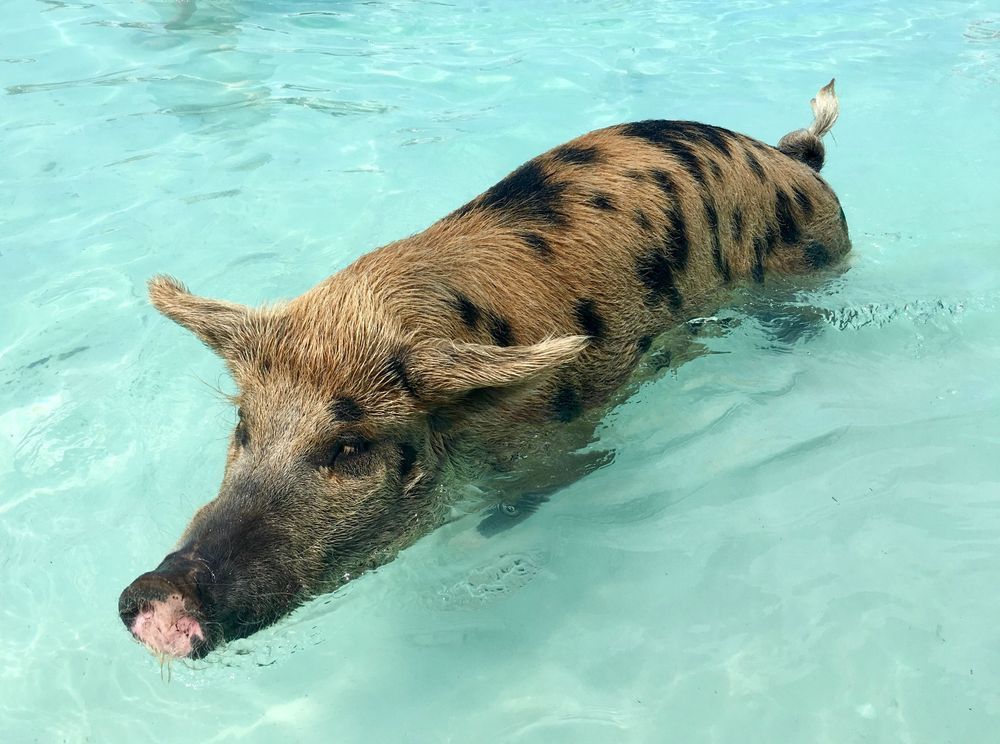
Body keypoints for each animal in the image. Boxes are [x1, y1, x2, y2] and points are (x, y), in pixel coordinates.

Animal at [119, 81, 849, 659]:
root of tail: (793, 159)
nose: (156, 590)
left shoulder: (564, 443)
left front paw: (487, 534)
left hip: (813, 263)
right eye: (244, 425)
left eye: (350, 447)